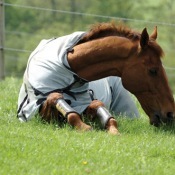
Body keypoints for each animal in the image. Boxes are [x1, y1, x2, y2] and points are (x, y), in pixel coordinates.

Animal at [17, 21, 175, 135]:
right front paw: (84, 127)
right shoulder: (38, 112)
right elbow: (57, 99)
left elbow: (99, 106)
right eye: (153, 71)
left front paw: (113, 130)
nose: (170, 114)